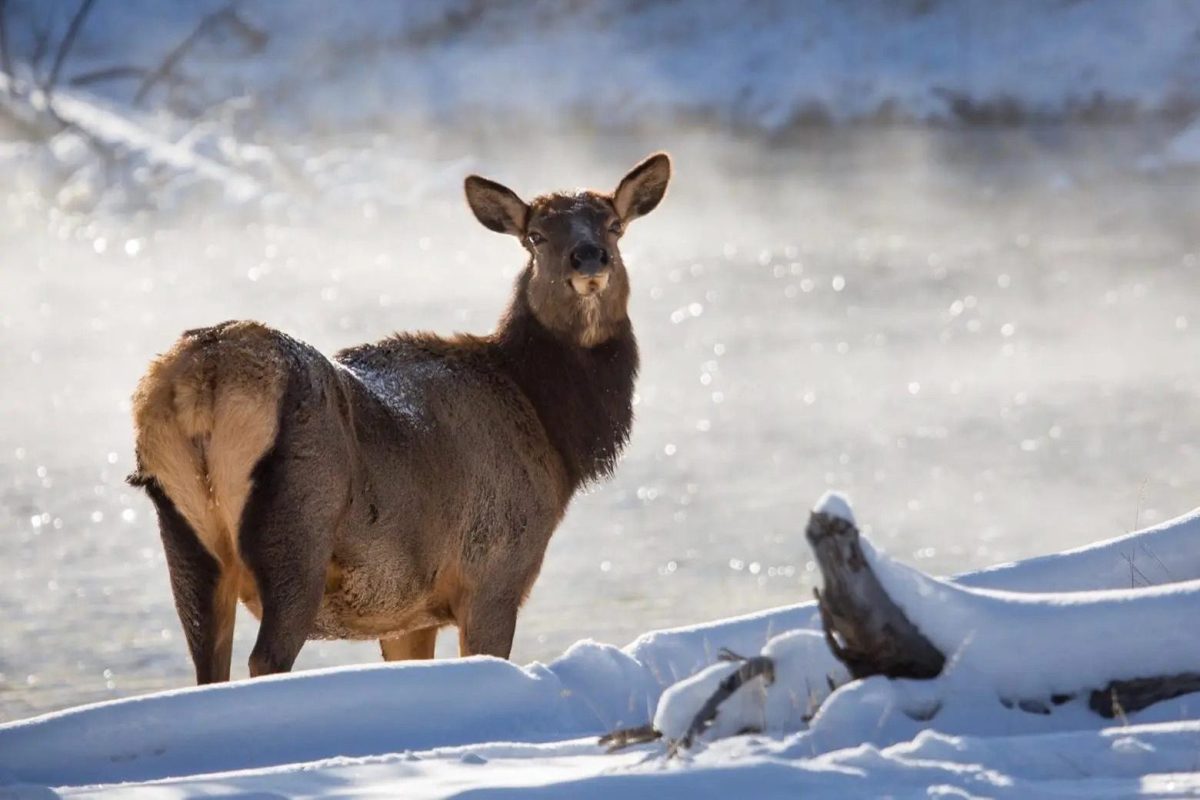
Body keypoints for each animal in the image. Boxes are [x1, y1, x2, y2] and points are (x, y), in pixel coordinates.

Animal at [128, 153, 672, 683]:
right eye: (535, 235)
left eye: (614, 225)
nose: (590, 258)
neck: (552, 431)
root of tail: (203, 380)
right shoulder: (494, 573)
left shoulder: (408, 613)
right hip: (299, 528)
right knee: (266, 660)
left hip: (187, 536)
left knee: (208, 667)